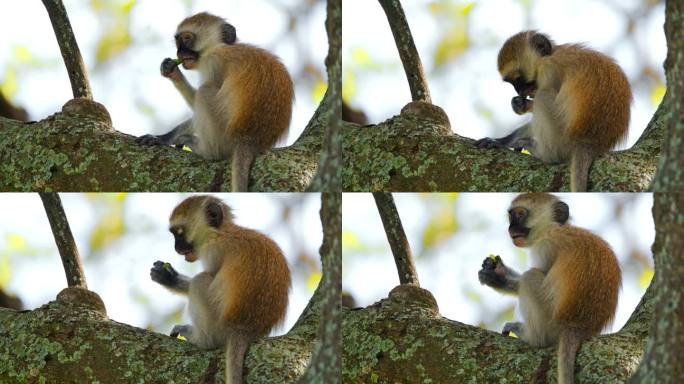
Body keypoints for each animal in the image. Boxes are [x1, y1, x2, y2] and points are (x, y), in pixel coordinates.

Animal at [138, 12, 294, 192]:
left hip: (225, 138)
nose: (179, 52)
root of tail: (249, 139)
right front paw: (172, 71)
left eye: (187, 38)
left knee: (204, 94)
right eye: (178, 41)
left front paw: (164, 138)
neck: (219, 47)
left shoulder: (214, 62)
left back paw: (205, 151)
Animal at [151, 196, 290, 382]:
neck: (222, 232)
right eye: (174, 235)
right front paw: (169, 277)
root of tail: (244, 329)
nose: (177, 248)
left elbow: (210, 275)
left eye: (179, 233)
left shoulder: (213, 250)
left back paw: (201, 340)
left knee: (199, 281)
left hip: (219, 327)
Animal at [476, 31, 632, 192]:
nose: (519, 91)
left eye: (518, 79)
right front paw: (519, 109)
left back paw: (545, 154)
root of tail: (589, 143)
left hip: (563, 142)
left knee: (543, 96)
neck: (553, 54)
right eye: (512, 83)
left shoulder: (548, 70)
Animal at [478, 194, 624, 382]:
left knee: (529, 278)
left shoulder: (545, 247)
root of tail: (577, 326)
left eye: (520, 214)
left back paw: (532, 337)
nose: (511, 228)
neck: (554, 229)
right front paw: (497, 275)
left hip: (551, 324)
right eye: (511, 216)